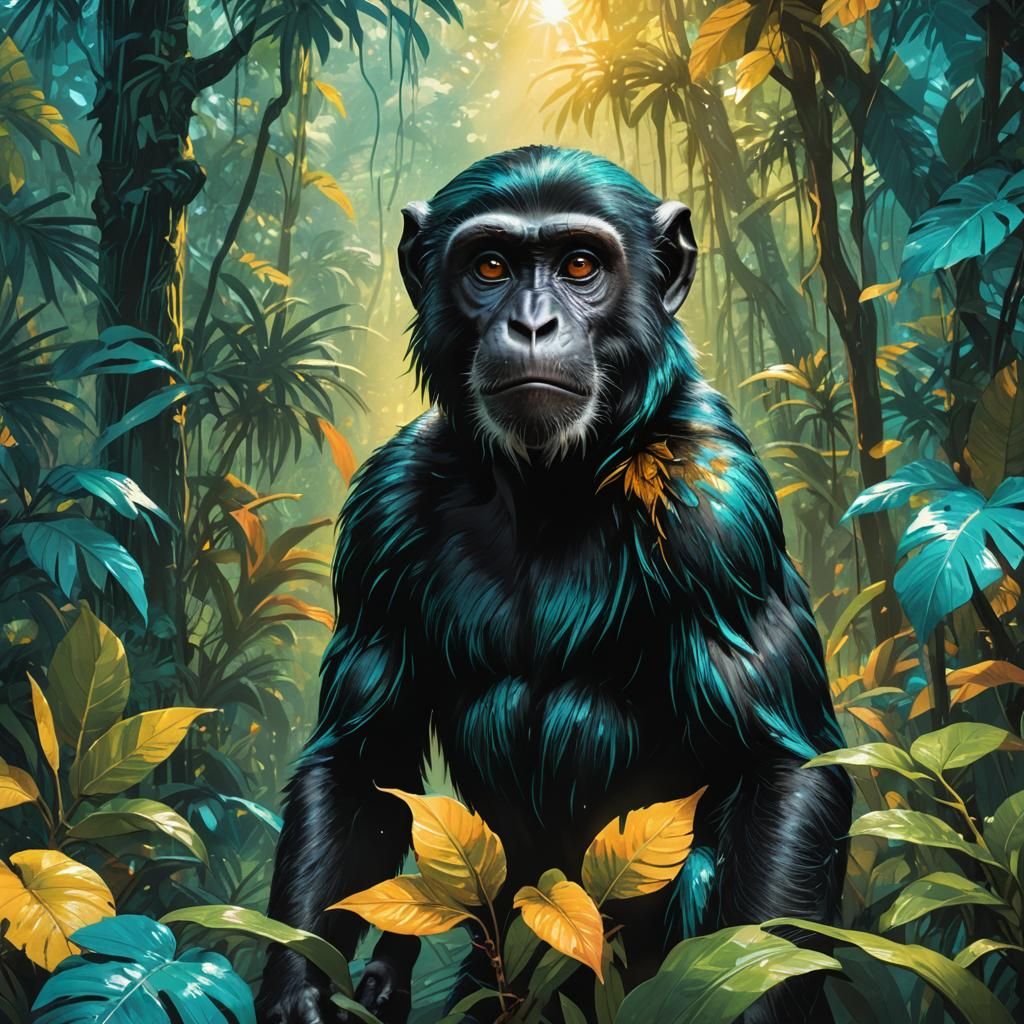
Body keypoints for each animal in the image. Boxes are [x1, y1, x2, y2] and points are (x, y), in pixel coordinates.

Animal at [256, 145, 851, 1024]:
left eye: (578, 265)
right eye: (490, 265)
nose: (533, 323)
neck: (554, 481)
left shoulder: (719, 512)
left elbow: (778, 770)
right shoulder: (382, 512)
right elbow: (363, 763)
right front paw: (301, 991)